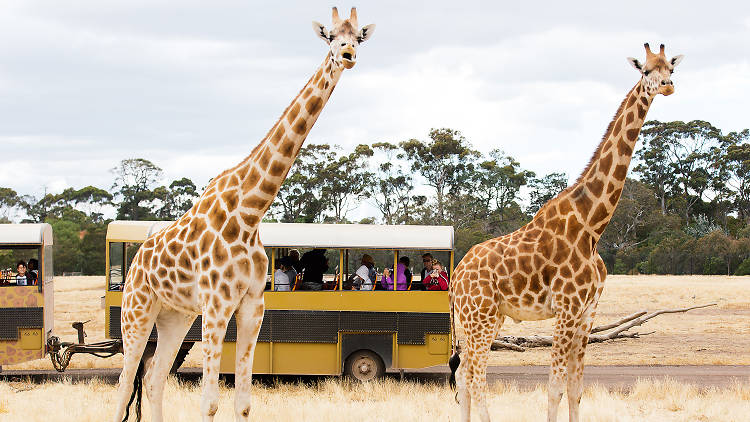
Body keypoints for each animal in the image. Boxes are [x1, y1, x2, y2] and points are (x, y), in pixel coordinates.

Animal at [111, 7, 376, 422]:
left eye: (358, 37)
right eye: (331, 36)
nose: (347, 55)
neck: (251, 210)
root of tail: (136, 260)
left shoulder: (252, 305)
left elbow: (244, 401)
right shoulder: (217, 305)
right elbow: (209, 401)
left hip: (175, 316)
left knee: (153, 378)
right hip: (137, 309)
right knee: (124, 384)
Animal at [450, 43, 684, 422]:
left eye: (671, 70)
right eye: (646, 70)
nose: (667, 86)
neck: (592, 226)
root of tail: (456, 276)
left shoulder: (588, 312)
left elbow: (576, 389)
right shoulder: (567, 308)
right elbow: (554, 388)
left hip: (488, 316)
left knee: (463, 373)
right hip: (479, 315)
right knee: (475, 376)